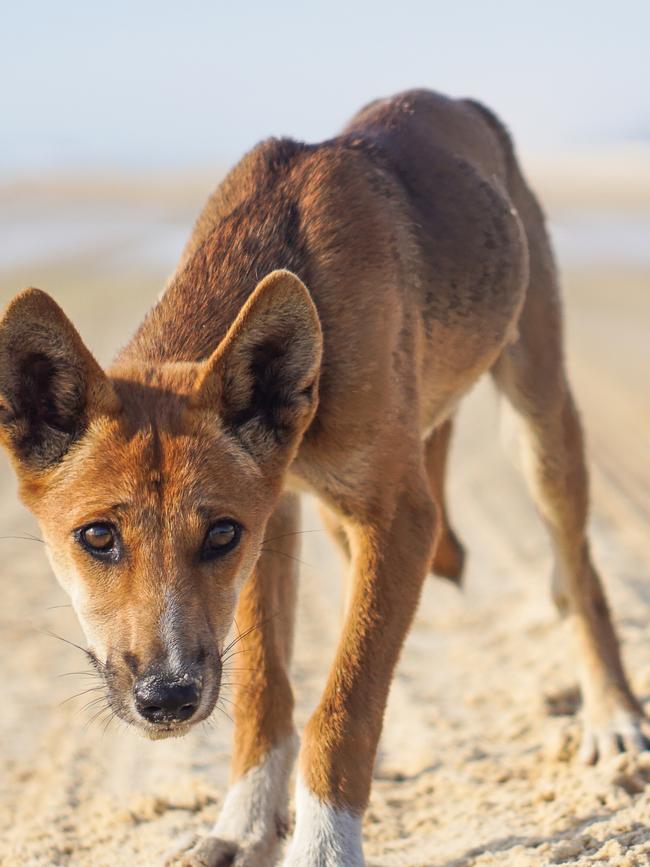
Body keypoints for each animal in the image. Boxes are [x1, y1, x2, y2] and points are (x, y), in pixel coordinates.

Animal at [0, 91, 644, 864]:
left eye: (220, 534)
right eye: (97, 536)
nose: (168, 698)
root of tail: (457, 103)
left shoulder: (392, 518)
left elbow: (346, 702)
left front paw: (324, 844)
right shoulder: (277, 518)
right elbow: (264, 690)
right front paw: (244, 825)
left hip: (539, 427)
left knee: (580, 573)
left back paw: (612, 715)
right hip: (345, 517)